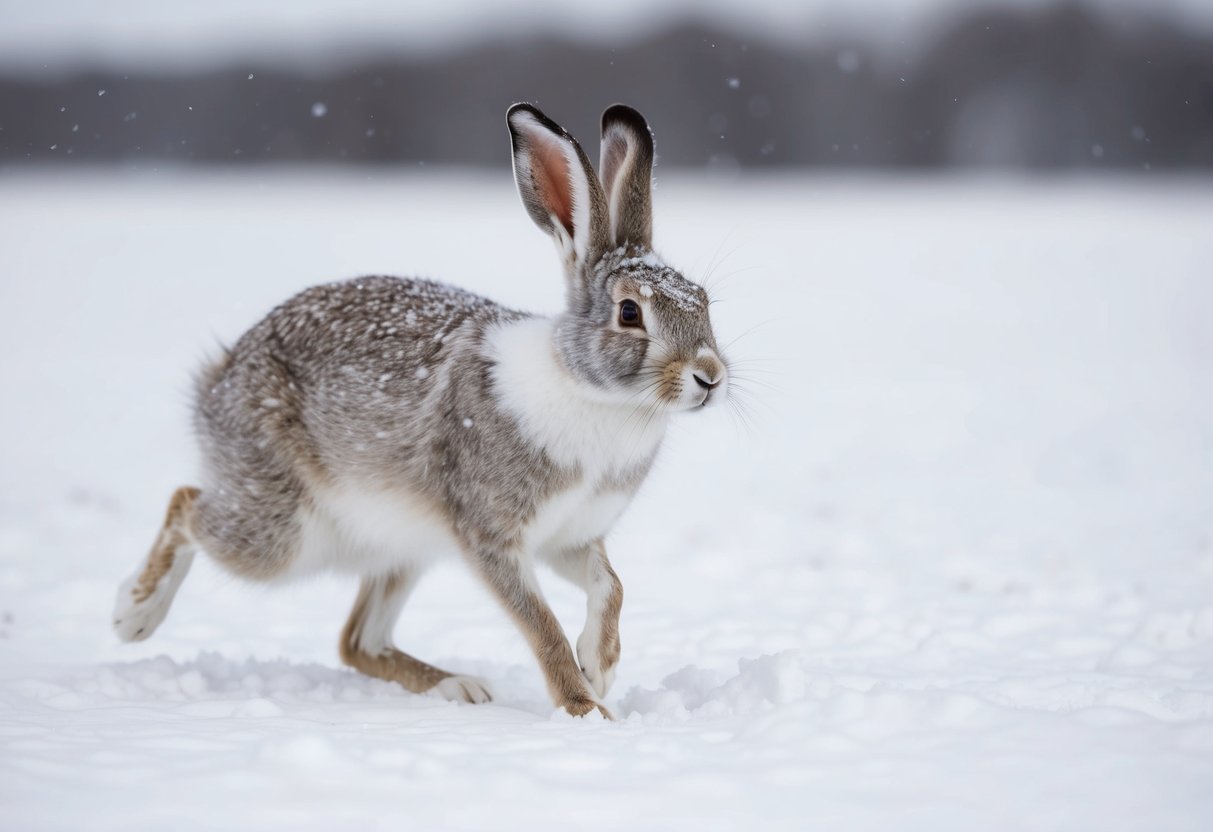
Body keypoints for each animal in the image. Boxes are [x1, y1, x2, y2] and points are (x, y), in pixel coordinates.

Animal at [112, 102, 730, 718]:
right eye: (629, 313)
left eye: (702, 301)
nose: (710, 376)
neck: (596, 392)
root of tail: (219, 377)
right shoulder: (490, 535)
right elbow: (541, 626)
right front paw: (585, 709)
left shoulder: (569, 539)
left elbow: (612, 585)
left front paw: (600, 667)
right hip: (282, 531)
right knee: (187, 505)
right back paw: (132, 615)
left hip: (400, 545)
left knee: (357, 641)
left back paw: (459, 687)